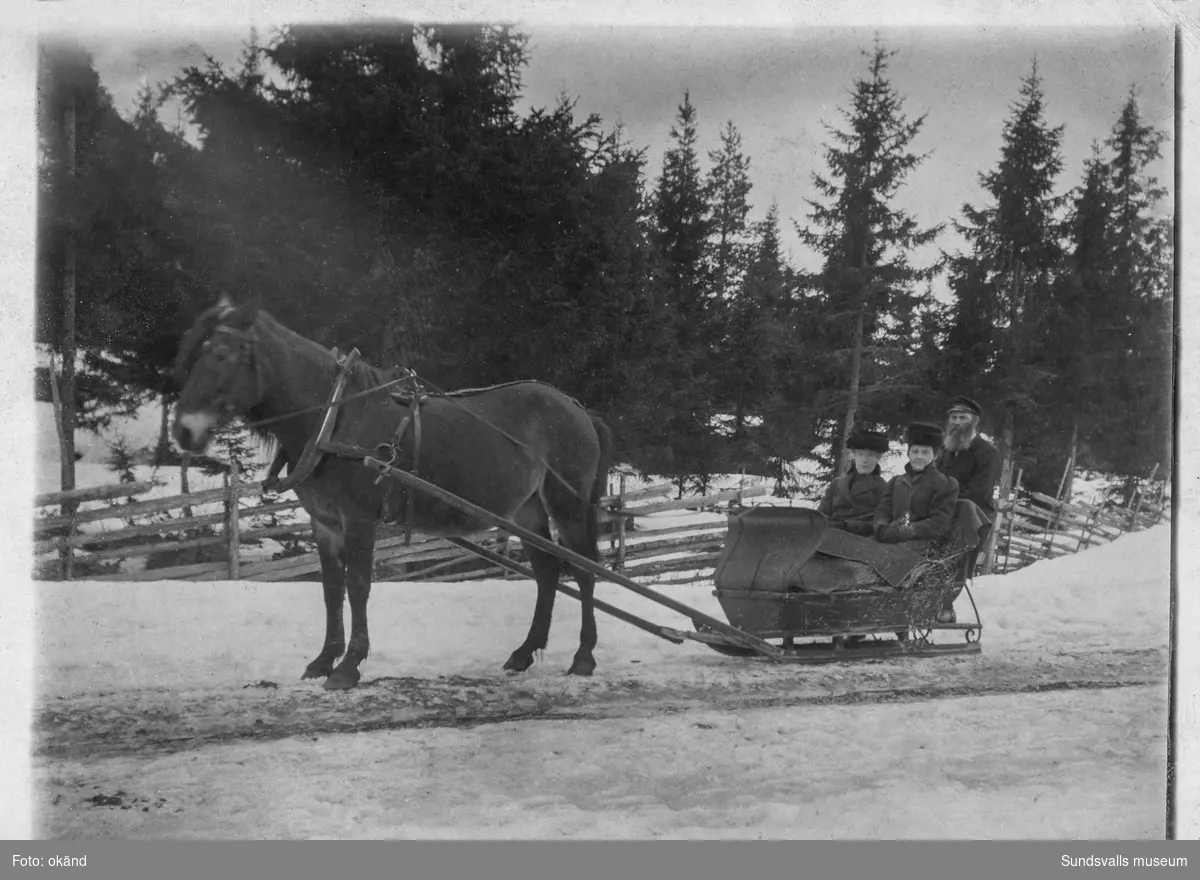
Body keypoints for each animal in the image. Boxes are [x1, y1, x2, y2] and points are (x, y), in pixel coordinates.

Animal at [174, 298, 614, 691]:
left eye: (222, 354)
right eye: (194, 354)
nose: (183, 431)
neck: (334, 420)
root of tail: (577, 408)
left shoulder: (359, 519)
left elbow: (357, 587)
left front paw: (349, 665)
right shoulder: (325, 524)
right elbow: (331, 591)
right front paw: (323, 660)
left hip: (568, 505)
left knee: (585, 571)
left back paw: (584, 657)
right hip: (527, 509)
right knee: (546, 572)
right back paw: (524, 653)